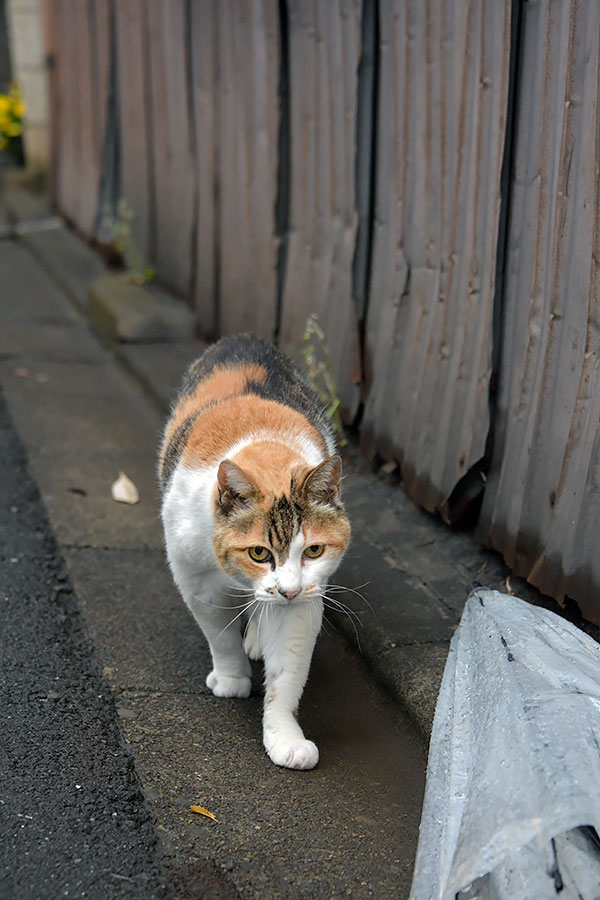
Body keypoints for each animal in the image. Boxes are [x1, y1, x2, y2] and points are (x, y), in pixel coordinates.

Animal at [159, 334, 350, 768]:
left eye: (314, 549)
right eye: (259, 553)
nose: (287, 590)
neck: (264, 444)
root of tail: (244, 338)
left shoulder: (304, 598)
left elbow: (287, 674)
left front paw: (285, 737)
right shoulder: (196, 580)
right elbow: (219, 636)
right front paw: (232, 678)